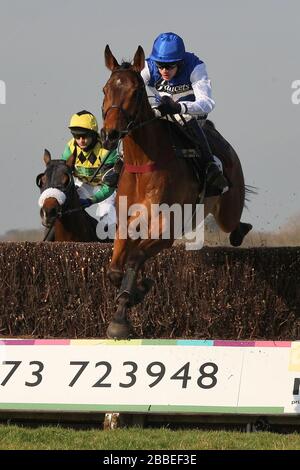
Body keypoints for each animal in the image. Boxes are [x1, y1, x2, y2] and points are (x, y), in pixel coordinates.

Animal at [101, 45, 253, 338]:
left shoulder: (167, 227)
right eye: (105, 89)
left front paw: (124, 312)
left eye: (136, 92)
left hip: (228, 208)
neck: (144, 166)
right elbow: (115, 269)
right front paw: (133, 292)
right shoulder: (126, 223)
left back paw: (241, 230)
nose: (110, 134)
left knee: (233, 224)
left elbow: (135, 258)